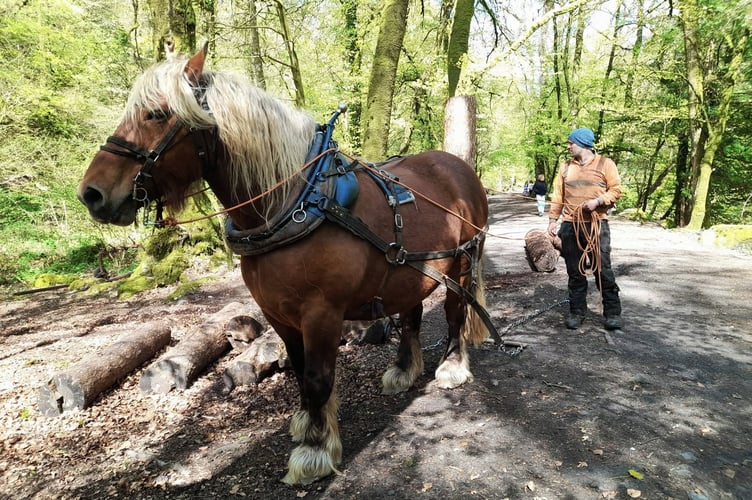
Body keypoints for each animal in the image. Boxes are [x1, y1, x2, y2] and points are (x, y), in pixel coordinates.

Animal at [77, 45, 491, 485]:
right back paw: (404, 369)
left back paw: (452, 366)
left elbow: (318, 378)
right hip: (412, 270)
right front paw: (309, 423)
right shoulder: (278, 314)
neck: (293, 202)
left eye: (156, 114)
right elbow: (299, 370)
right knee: (411, 315)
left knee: (455, 313)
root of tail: (458, 167)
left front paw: (314, 451)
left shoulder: (322, 313)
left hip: (462, 264)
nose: (91, 193)